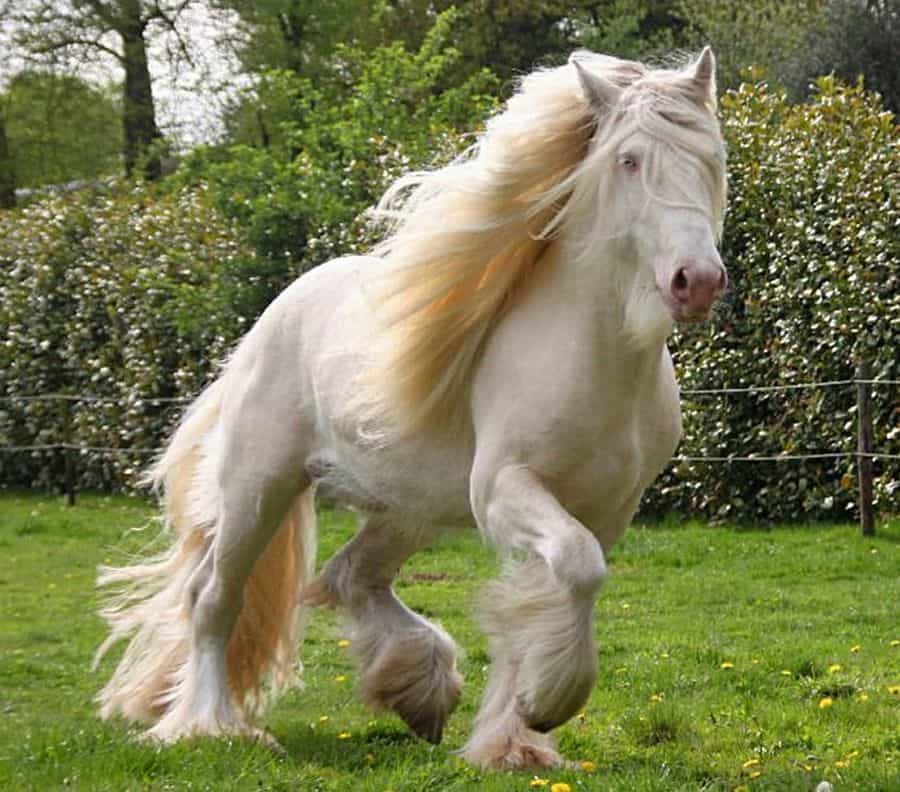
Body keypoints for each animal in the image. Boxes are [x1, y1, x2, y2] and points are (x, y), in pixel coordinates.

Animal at [94, 47, 728, 770]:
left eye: (712, 155)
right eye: (629, 160)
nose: (697, 281)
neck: (595, 359)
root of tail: (272, 317)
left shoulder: (606, 509)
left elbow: (546, 596)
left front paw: (514, 741)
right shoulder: (506, 490)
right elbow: (577, 569)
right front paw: (548, 703)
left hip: (407, 507)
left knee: (351, 577)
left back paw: (420, 689)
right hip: (258, 489)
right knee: (212, 599)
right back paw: (210, 726)